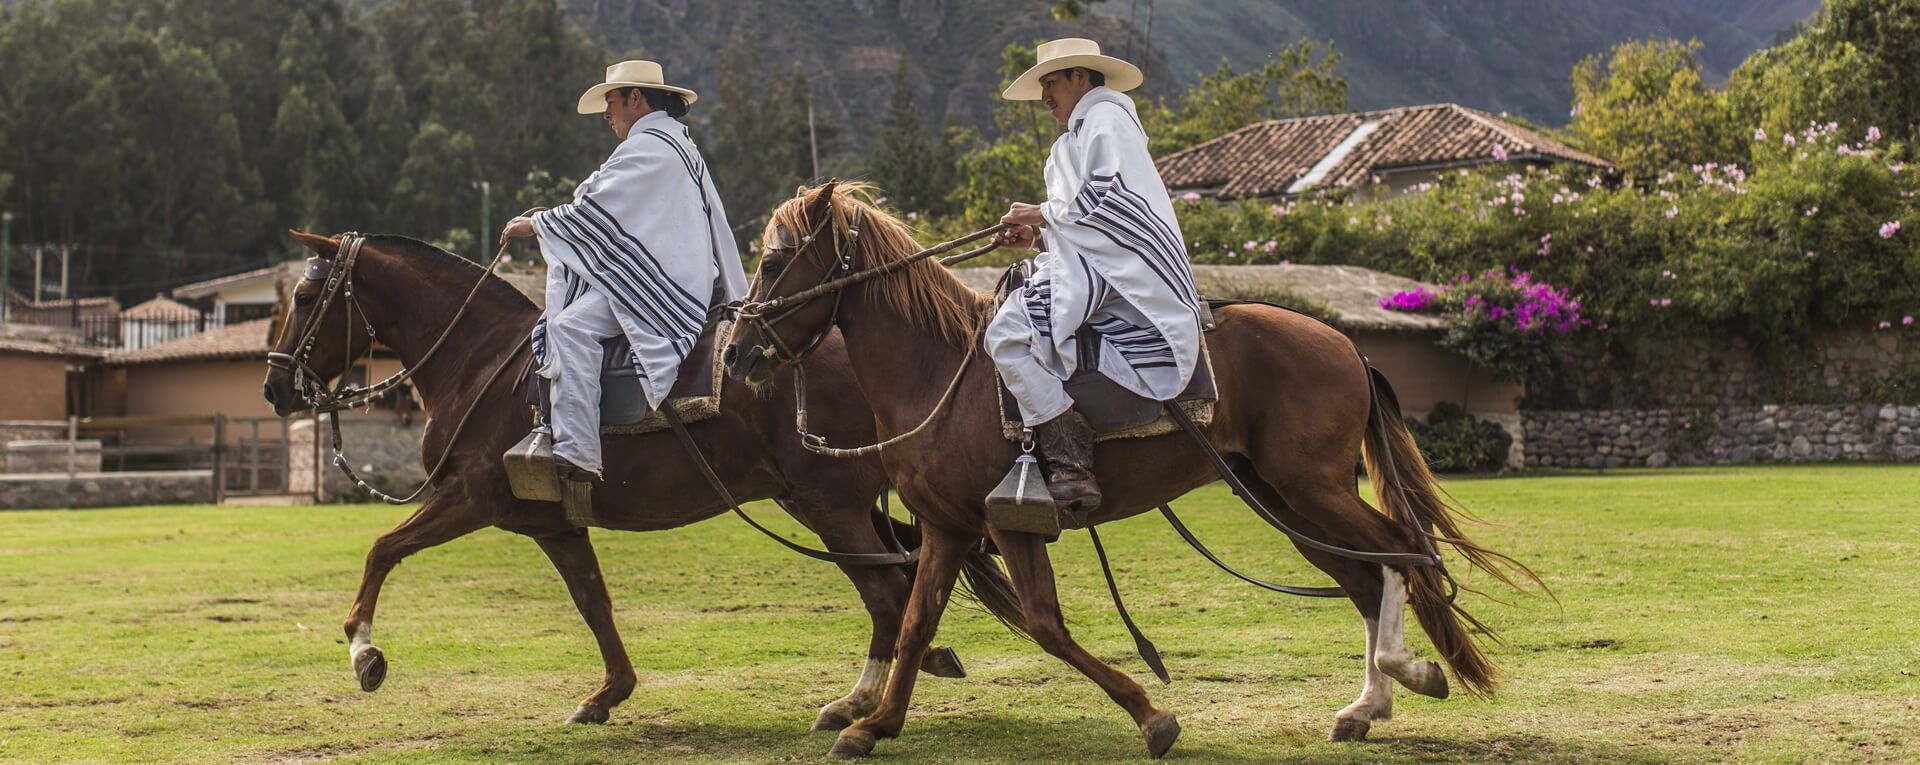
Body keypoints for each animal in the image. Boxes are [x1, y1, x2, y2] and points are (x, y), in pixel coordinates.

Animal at [263, 231, 1029, 730]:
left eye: (304, 293)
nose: (274, 387)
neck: (477, 362)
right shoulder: (553, 523)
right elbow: (593, 603)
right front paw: (609, 692)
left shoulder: (470, 498)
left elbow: (382, 550)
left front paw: (364, 652)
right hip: (827, 503)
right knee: (902, 577)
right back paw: (912, 669)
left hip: (828, 505)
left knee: (889, 593)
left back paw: (859, 703)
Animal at [725, 186, 1536, 757]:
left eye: (773, 260)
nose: (736, 353)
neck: (939, 374)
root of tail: (1346, 343)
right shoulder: (948, 526)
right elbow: (917, 619)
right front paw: (873, 725)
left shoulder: (1008, 522)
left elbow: (1044, 625)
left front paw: (1152, 716)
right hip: (1282, 496)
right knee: (1367, 577)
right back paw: (1367, 705)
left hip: (1313, 487)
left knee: (1401, 550)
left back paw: (1408, 671)